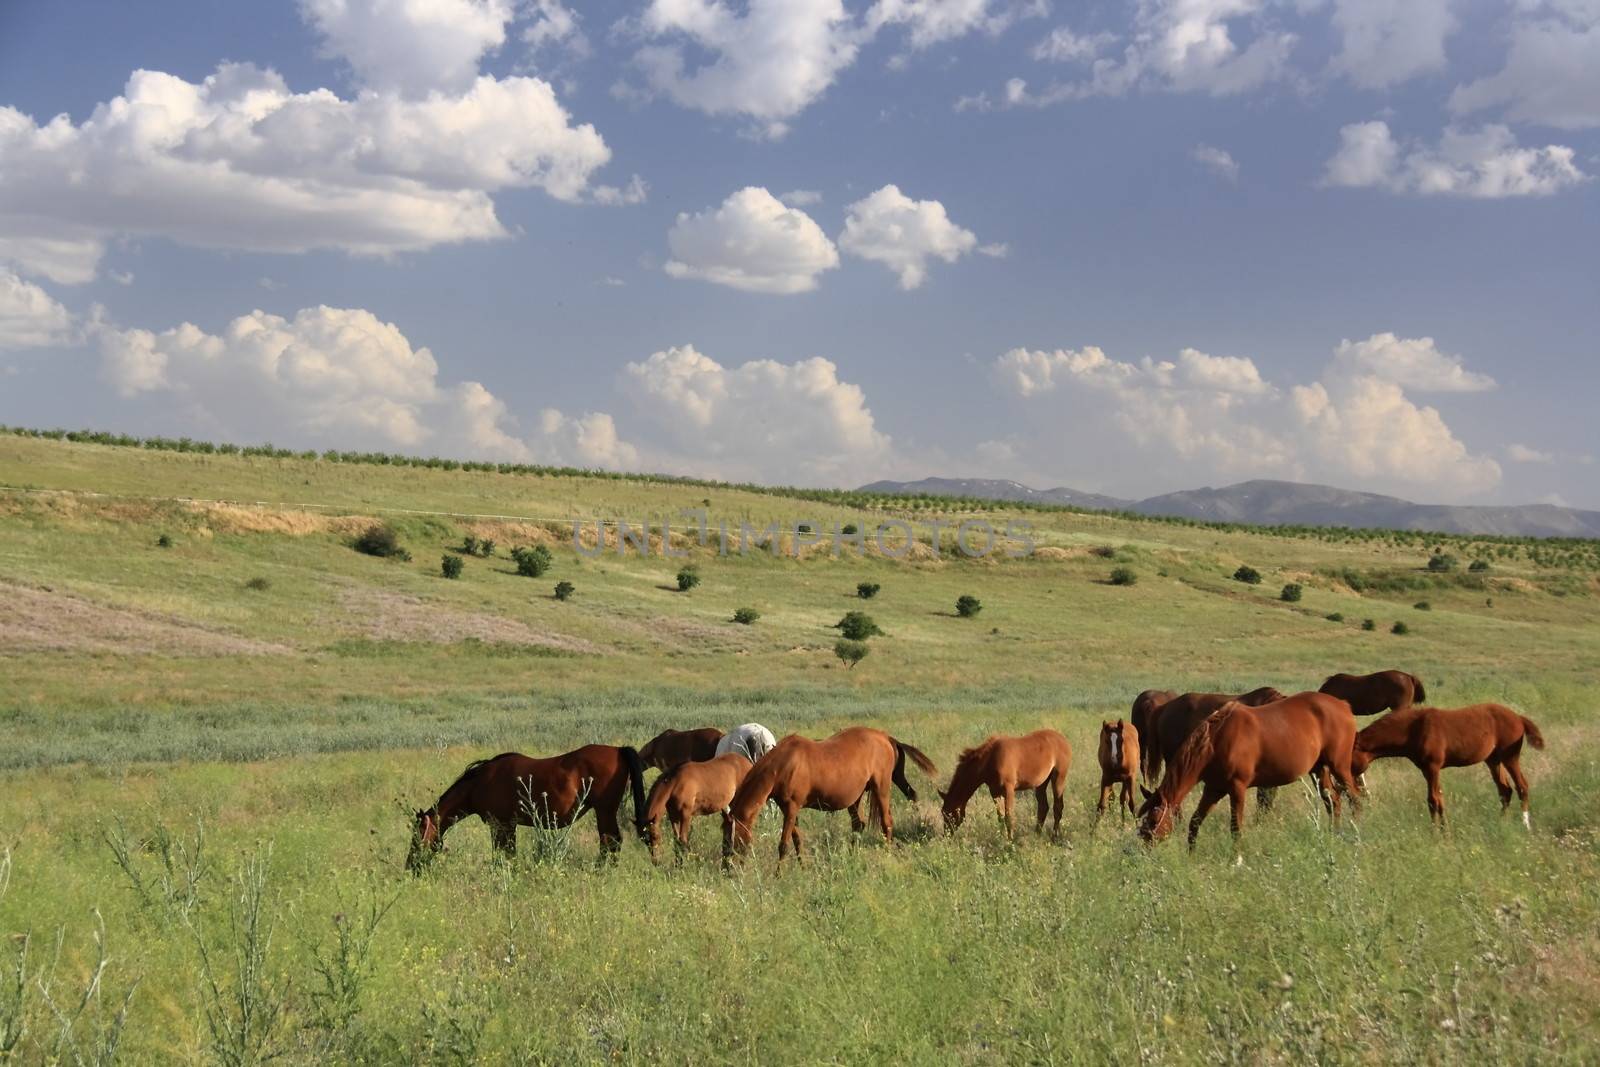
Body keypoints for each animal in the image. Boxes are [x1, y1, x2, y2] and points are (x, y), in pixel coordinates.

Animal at [409, 748, 646, 870]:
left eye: (417, 836)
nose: (411, 866)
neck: (479, 783)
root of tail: (618, 750)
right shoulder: (508, 826)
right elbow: (508, 853)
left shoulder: (500, 825)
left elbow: (503, 854)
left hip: (604, 811)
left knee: (611, 842)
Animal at [726, 726, 934, 870]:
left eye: (730, 837)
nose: (727, 867)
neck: (783, 765)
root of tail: (886, 738)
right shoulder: (789, 810)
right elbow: (797, 840)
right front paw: (803, 868)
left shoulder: (792, 808)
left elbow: (784, 844)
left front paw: (779, 875)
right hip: (856, 798)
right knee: (859, 825)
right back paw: (852, 856)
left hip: (881, 788)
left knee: (886, 822)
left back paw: (887, 854)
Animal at [934, 729, 1075, 838]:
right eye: (943, 812)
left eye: (949, 814)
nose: (946, 835)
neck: (989, 760)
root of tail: (1063, 740)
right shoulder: (995, 791)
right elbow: (1001, 817)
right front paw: (1003, 839)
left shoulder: (1009, 789)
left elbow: (1009, 817)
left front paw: (1010, 841)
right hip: (1041, 783)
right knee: (1043, 807)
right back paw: (1037, 834)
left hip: (1058, 778)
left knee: (1058, 807)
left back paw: (1054, 836)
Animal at [1139, 694, 1363, 851]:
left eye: (1153, 821)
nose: (1143, 848)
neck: (1217, 741)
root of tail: (1343, 705)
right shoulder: (1213, 789)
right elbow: (1195, 821)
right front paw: (1191, 854)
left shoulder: (1237, 789)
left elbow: (1235, 828)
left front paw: (1236, 860)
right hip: (1318, 770)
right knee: (1333, 800)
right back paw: (1334, 834)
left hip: (1339, 767)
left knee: (1354, 799)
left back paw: (1355, 833)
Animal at [1350, 703, 1548, 831]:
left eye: (1350, 757)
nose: (1355, 785)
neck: (1414, 729)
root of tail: (1518, 718)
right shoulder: (1427, 770)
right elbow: (1438, 799)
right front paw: (1441, 831)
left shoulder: (1432, 768)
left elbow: (1433, 800)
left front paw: (1438, 834)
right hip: (1493, 760)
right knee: (1505, 790)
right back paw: (1502, 823)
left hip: (1509, 757)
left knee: (1522, 786)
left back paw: (1525, 825)